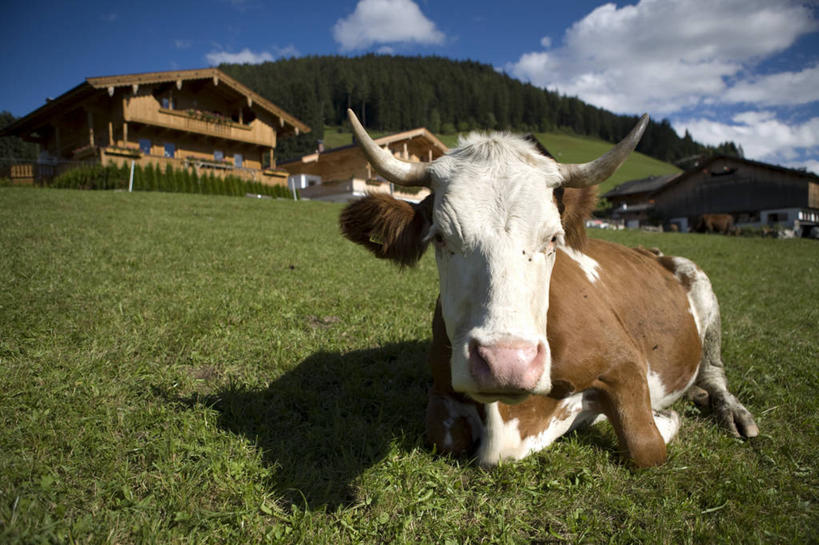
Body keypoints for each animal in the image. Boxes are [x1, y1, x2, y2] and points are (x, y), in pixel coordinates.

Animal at [338, 109, 756, 468]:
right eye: (440, 237)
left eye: (553, 238)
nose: (505, 364)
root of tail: (649, 250)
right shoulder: (442, 386)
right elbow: (446, 439)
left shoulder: (625, 362)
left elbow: (645, 444)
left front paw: (656, 416)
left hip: (700, 284)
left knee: (714, 370)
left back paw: (732, 412)